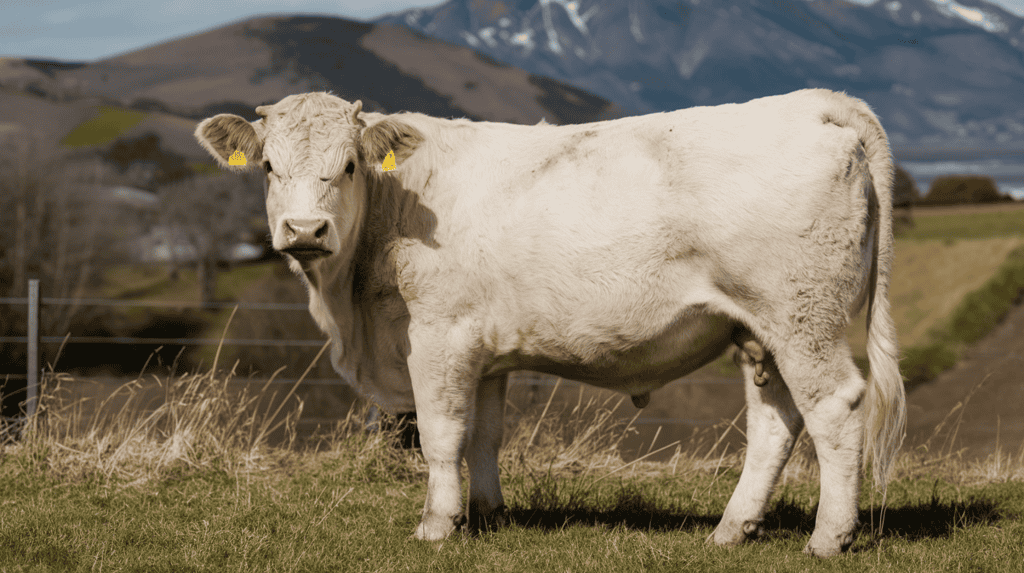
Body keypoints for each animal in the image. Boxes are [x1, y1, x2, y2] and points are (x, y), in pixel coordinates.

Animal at [195, 89, 906, 557]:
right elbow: (483, 435)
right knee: (775, 422)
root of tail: (809, 102)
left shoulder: (439, 337)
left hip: (802, 317)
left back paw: (828, 538)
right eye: (268, 167)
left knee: (833, 408)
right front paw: (486, 515)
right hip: (763, 332)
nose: (305, 230)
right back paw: (732, 529)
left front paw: (436, 525)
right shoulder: (481, 350)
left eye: (346, 165)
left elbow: (441, 435)